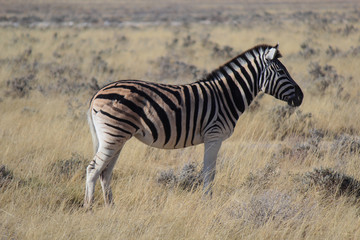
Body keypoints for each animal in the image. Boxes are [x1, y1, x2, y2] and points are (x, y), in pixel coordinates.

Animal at [83, 43, 302, 208]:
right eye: (281, 71)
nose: (301, 97)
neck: (227, 96)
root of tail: (98, 92)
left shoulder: (212, 137)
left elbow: (208, 171)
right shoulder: (214, 135)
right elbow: (209, 172)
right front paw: (207, 202)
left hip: (116, 137)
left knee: (105, 172)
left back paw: (111, 206)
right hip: (114, 134)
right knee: (93, 169)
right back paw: (89, 207)